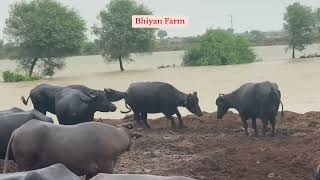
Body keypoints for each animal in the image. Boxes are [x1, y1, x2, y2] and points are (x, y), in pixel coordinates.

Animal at [3, 119, 142, 179]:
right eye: (130, 127)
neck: (117, 135)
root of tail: (17, 130)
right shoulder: (106, 166)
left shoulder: (91, 171)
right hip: (25, 164)